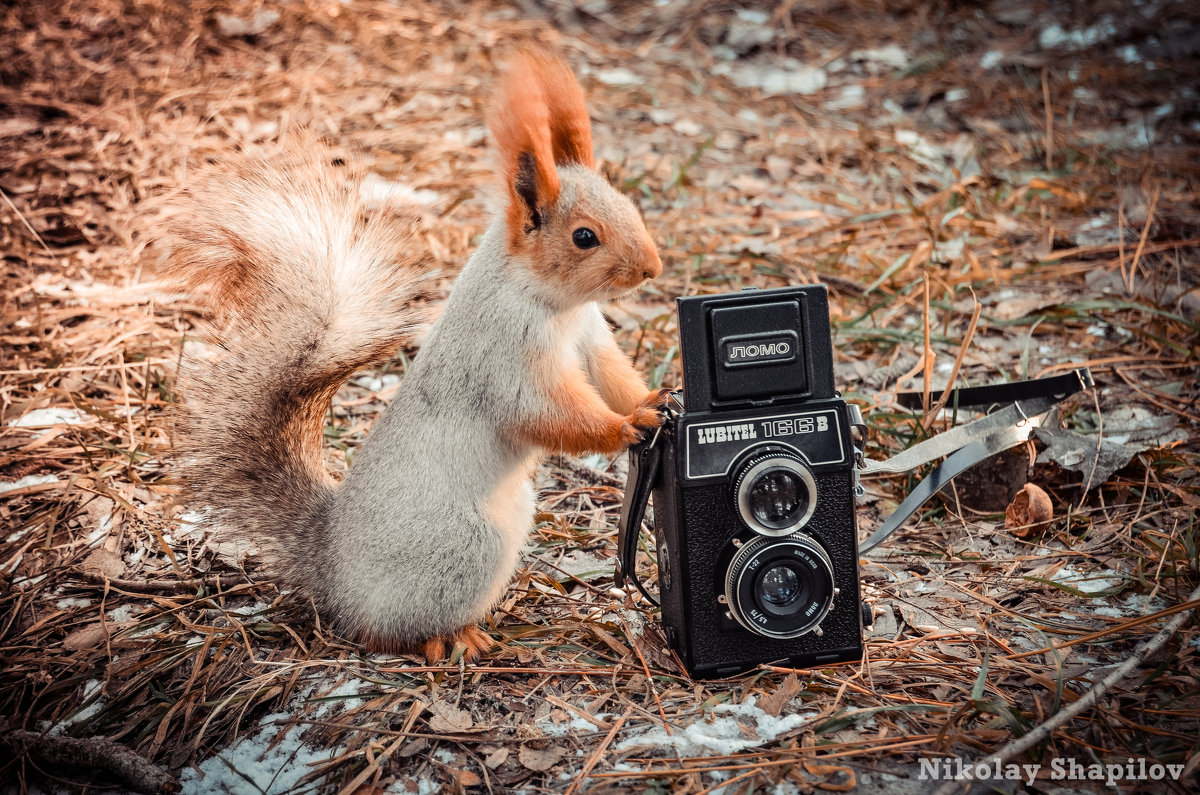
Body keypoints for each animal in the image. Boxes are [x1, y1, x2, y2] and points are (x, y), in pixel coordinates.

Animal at [162, 51, 667, 667]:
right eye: (584, 237)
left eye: (630, 204)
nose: (652, 268)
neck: (552, 304)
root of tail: (332, 570)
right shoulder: (500, 357)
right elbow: (548, 414)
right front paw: (626, 426)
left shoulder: (591, 338)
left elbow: (612, 376)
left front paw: (655, 400)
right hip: (463, 546)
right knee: (384, 631)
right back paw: (450, 638)